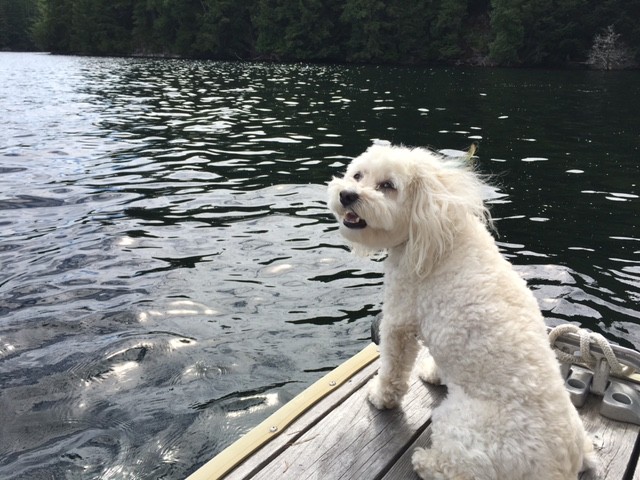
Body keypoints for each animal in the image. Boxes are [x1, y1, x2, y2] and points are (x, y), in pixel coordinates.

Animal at [328, 144, 596, 480]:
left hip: (461, 426)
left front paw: (380, 398)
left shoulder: (399, 319)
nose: (346, 195)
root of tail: (562, 466)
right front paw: (434, 373)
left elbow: (392, 367)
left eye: (388, 186)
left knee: (458, 469)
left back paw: (425, 461)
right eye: (357, 175)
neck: (435, 233)